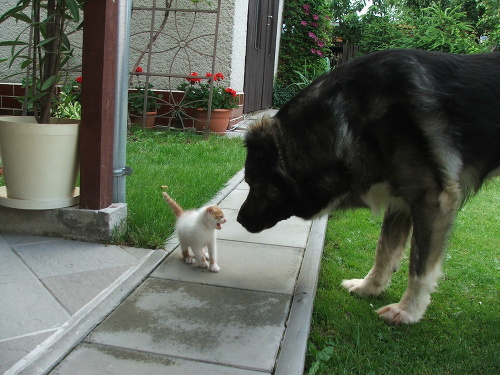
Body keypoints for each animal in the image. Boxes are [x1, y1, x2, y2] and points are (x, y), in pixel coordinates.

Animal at [238, 49, 500, 326]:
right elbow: (385, 250)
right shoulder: (400, 200)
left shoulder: (433, 199)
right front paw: (369, 288)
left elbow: (419, 267)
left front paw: (408, 311)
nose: (239, 219)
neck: (350, 122)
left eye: (256, 184)